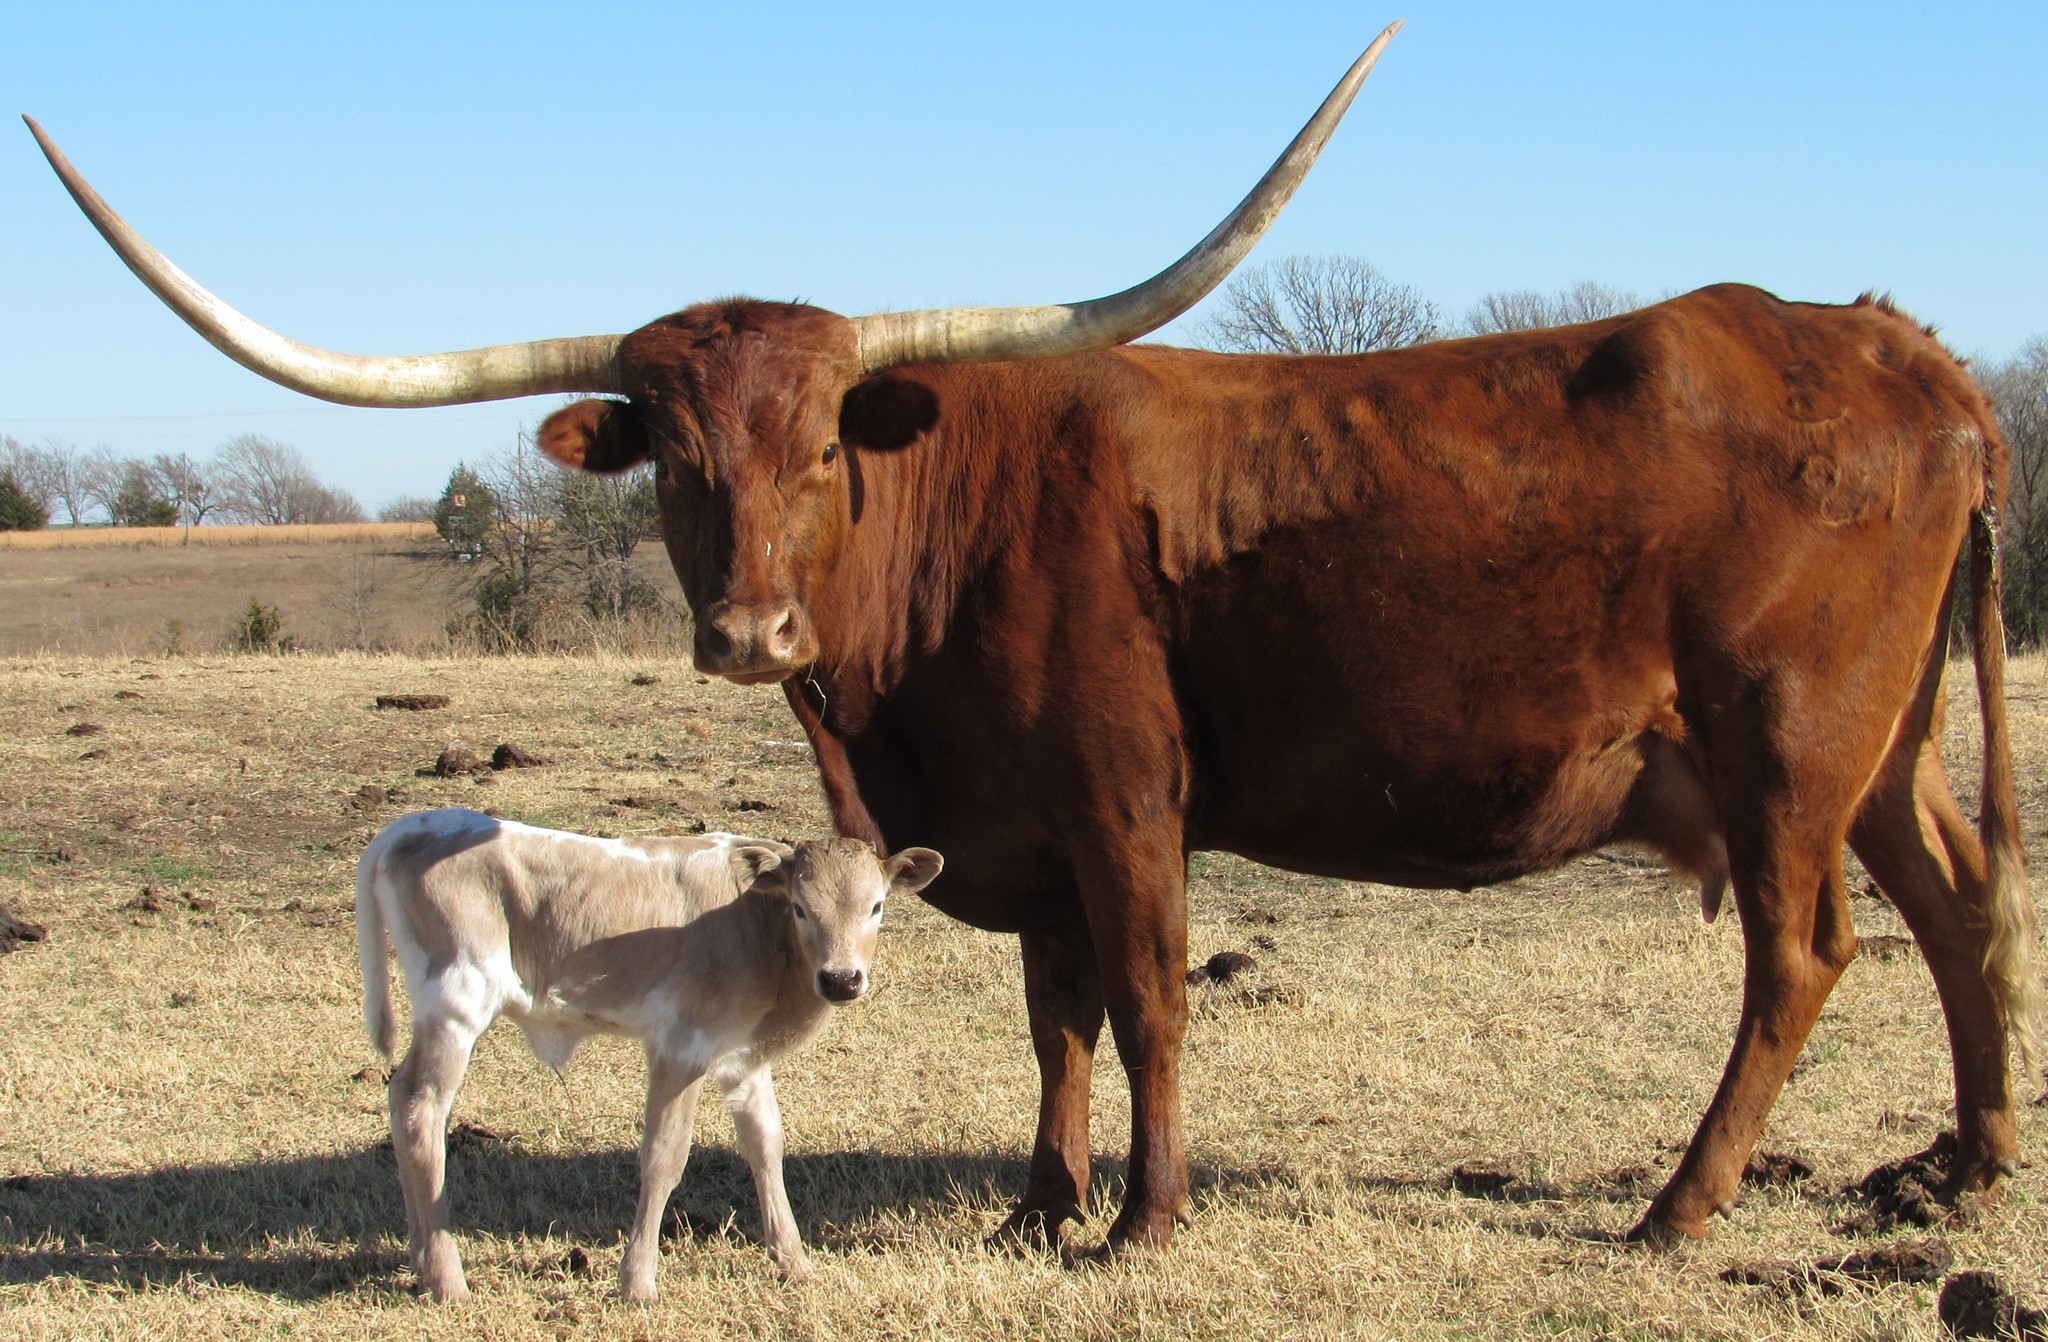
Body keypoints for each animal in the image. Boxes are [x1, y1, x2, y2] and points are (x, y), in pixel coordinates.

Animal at [355, 809, 943, 1301]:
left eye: (876, 906)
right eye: (800, 908)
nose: (841, 979)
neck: (755, 929)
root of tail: (409, 826)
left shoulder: (742, 1056)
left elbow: (765, 1145)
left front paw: (794, 1261)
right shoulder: (680, 1045)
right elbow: (664, 1156)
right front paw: (637, 1281)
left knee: (400, 1098)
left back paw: (421, 1258)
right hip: (456, 1000)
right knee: (421, 1106)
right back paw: (447, 1278)